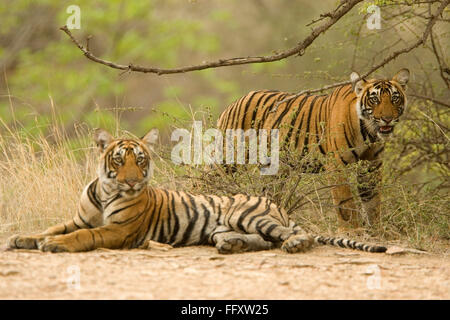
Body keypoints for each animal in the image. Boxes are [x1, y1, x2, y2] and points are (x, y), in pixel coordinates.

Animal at [6, 129, 386, 254]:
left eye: (140, 161)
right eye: (119, 160)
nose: (131, 181)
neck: (106, 190)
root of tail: (277, 205)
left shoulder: (118, 230)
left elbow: (84, 236)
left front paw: (53, 245)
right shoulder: (78, 218)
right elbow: (52, 227)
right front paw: (22, 239)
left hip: (246, 213)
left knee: (294, 236)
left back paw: (294, 244)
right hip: (226, 226)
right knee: (262, 242)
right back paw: (231, 246)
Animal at [216, 68, 410, 228]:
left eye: (394, 98)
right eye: (374, 99)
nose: (387, 119)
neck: (368, 132)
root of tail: (234, 103)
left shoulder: (371, 166)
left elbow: (372, 203)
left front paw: (376, 231)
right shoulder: (336, 164)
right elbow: (345, 202)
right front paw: (352, 231)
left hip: (274, 171)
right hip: (228, 159)